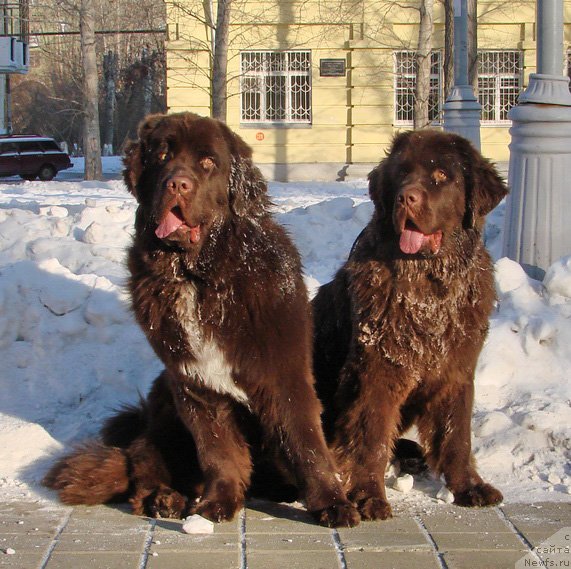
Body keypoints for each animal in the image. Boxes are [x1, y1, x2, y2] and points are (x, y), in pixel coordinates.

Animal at [43, 112, 358, 528]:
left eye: (208, 162)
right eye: (162, 154)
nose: (177, 183)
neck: (199, 278)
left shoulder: (283, 376)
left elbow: (305, 442)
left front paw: (333, 504)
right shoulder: (194, 383)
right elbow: (218, 450)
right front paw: (217, 504)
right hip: (163, 410)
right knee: (143, 468)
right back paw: (166, 499)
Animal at [312, 130, 510, 520]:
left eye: (441, 176)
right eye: (401, 174)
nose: (407, 196)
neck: (430, 290)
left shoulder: (457, 370)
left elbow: (457, 435)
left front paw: (469, 487)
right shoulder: (376, 371)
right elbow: (371, 436)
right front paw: (368, 496)